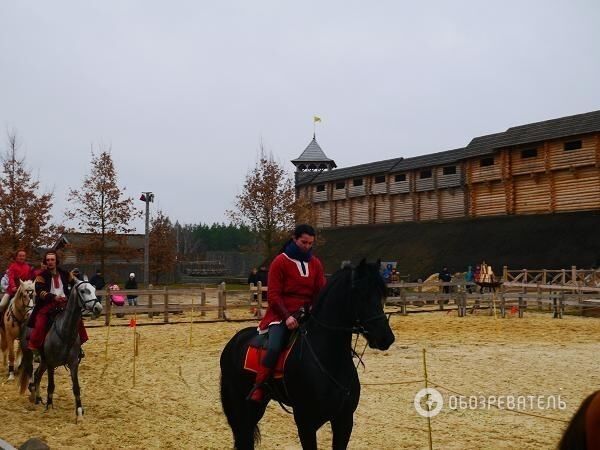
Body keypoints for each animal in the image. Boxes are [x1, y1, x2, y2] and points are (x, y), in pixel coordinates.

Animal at [219, 260, 394, 450]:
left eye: (382, 294)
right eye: (361, 294)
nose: (386, 338)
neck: (330, 360)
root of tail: (234, 341)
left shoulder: (344, 420)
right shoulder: (306, 423)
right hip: (240, 404)